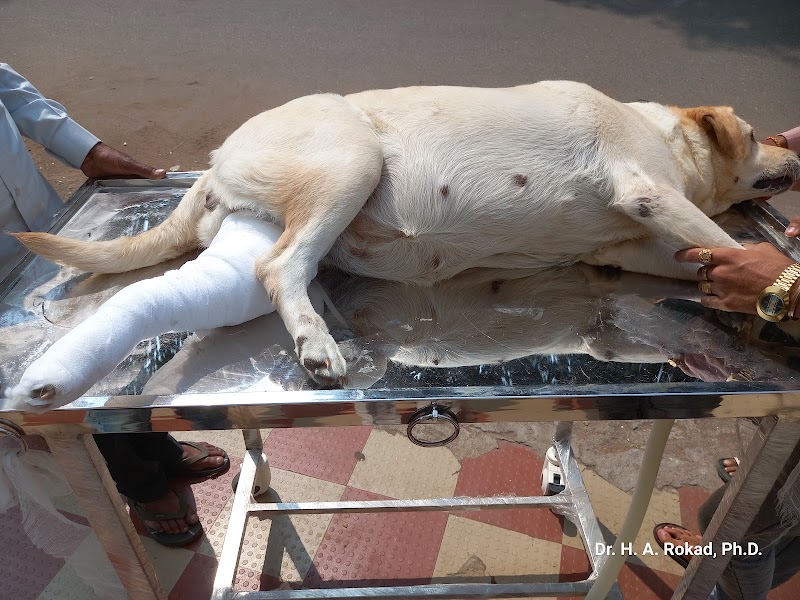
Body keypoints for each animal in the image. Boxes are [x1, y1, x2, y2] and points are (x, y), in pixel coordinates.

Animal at [14, 81, 800, 385]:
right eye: (756, 135)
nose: (795, 150)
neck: (667, 140)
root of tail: (211, 166)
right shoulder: (646, 192)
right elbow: (729, 243)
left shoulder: (640, 244)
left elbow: (708, 256)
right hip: (350, 162)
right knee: (278, 267)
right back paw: (317, 345)